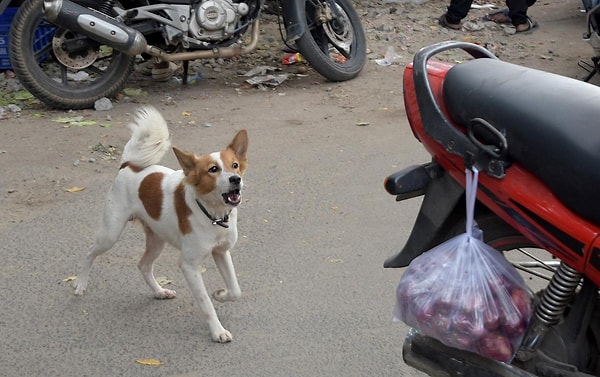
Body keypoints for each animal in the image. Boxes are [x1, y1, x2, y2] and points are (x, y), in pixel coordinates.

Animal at [74, 106, 247, 340]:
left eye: (235, 165)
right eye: (213, 169)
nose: (235, 179)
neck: (212, 214)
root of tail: (128, 165)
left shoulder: (221, 252)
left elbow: (235, 290)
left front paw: (221, 294)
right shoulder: (189, 266)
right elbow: (206, 304)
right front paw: (217, 331)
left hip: (157, 240)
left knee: (143, 265)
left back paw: (159, 291)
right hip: (110, 234)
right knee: (90, 252)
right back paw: (80, 284)